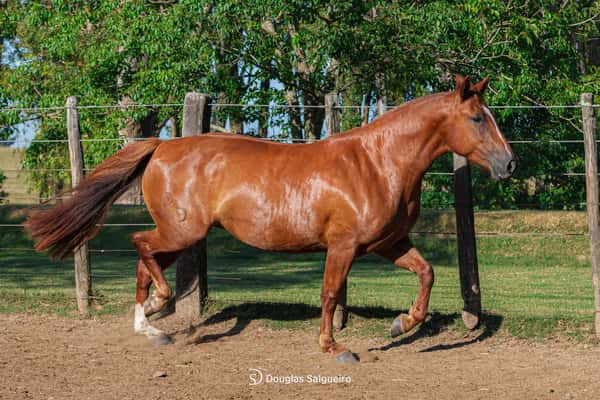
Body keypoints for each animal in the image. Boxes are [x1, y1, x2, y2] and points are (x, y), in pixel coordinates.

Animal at [27, 76, 516, 364]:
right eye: (477, 118)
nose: (509, 164)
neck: (378, 163)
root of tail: (162, 146)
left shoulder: (387, 243)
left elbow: (427, 273)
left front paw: (402, 323)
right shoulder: (344, 246)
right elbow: (330, 294)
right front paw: (334, 347)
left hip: (181, 235)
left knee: (143, 262)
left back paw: (150, 326)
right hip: (182, 231)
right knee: (140, 246)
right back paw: (156, 310)